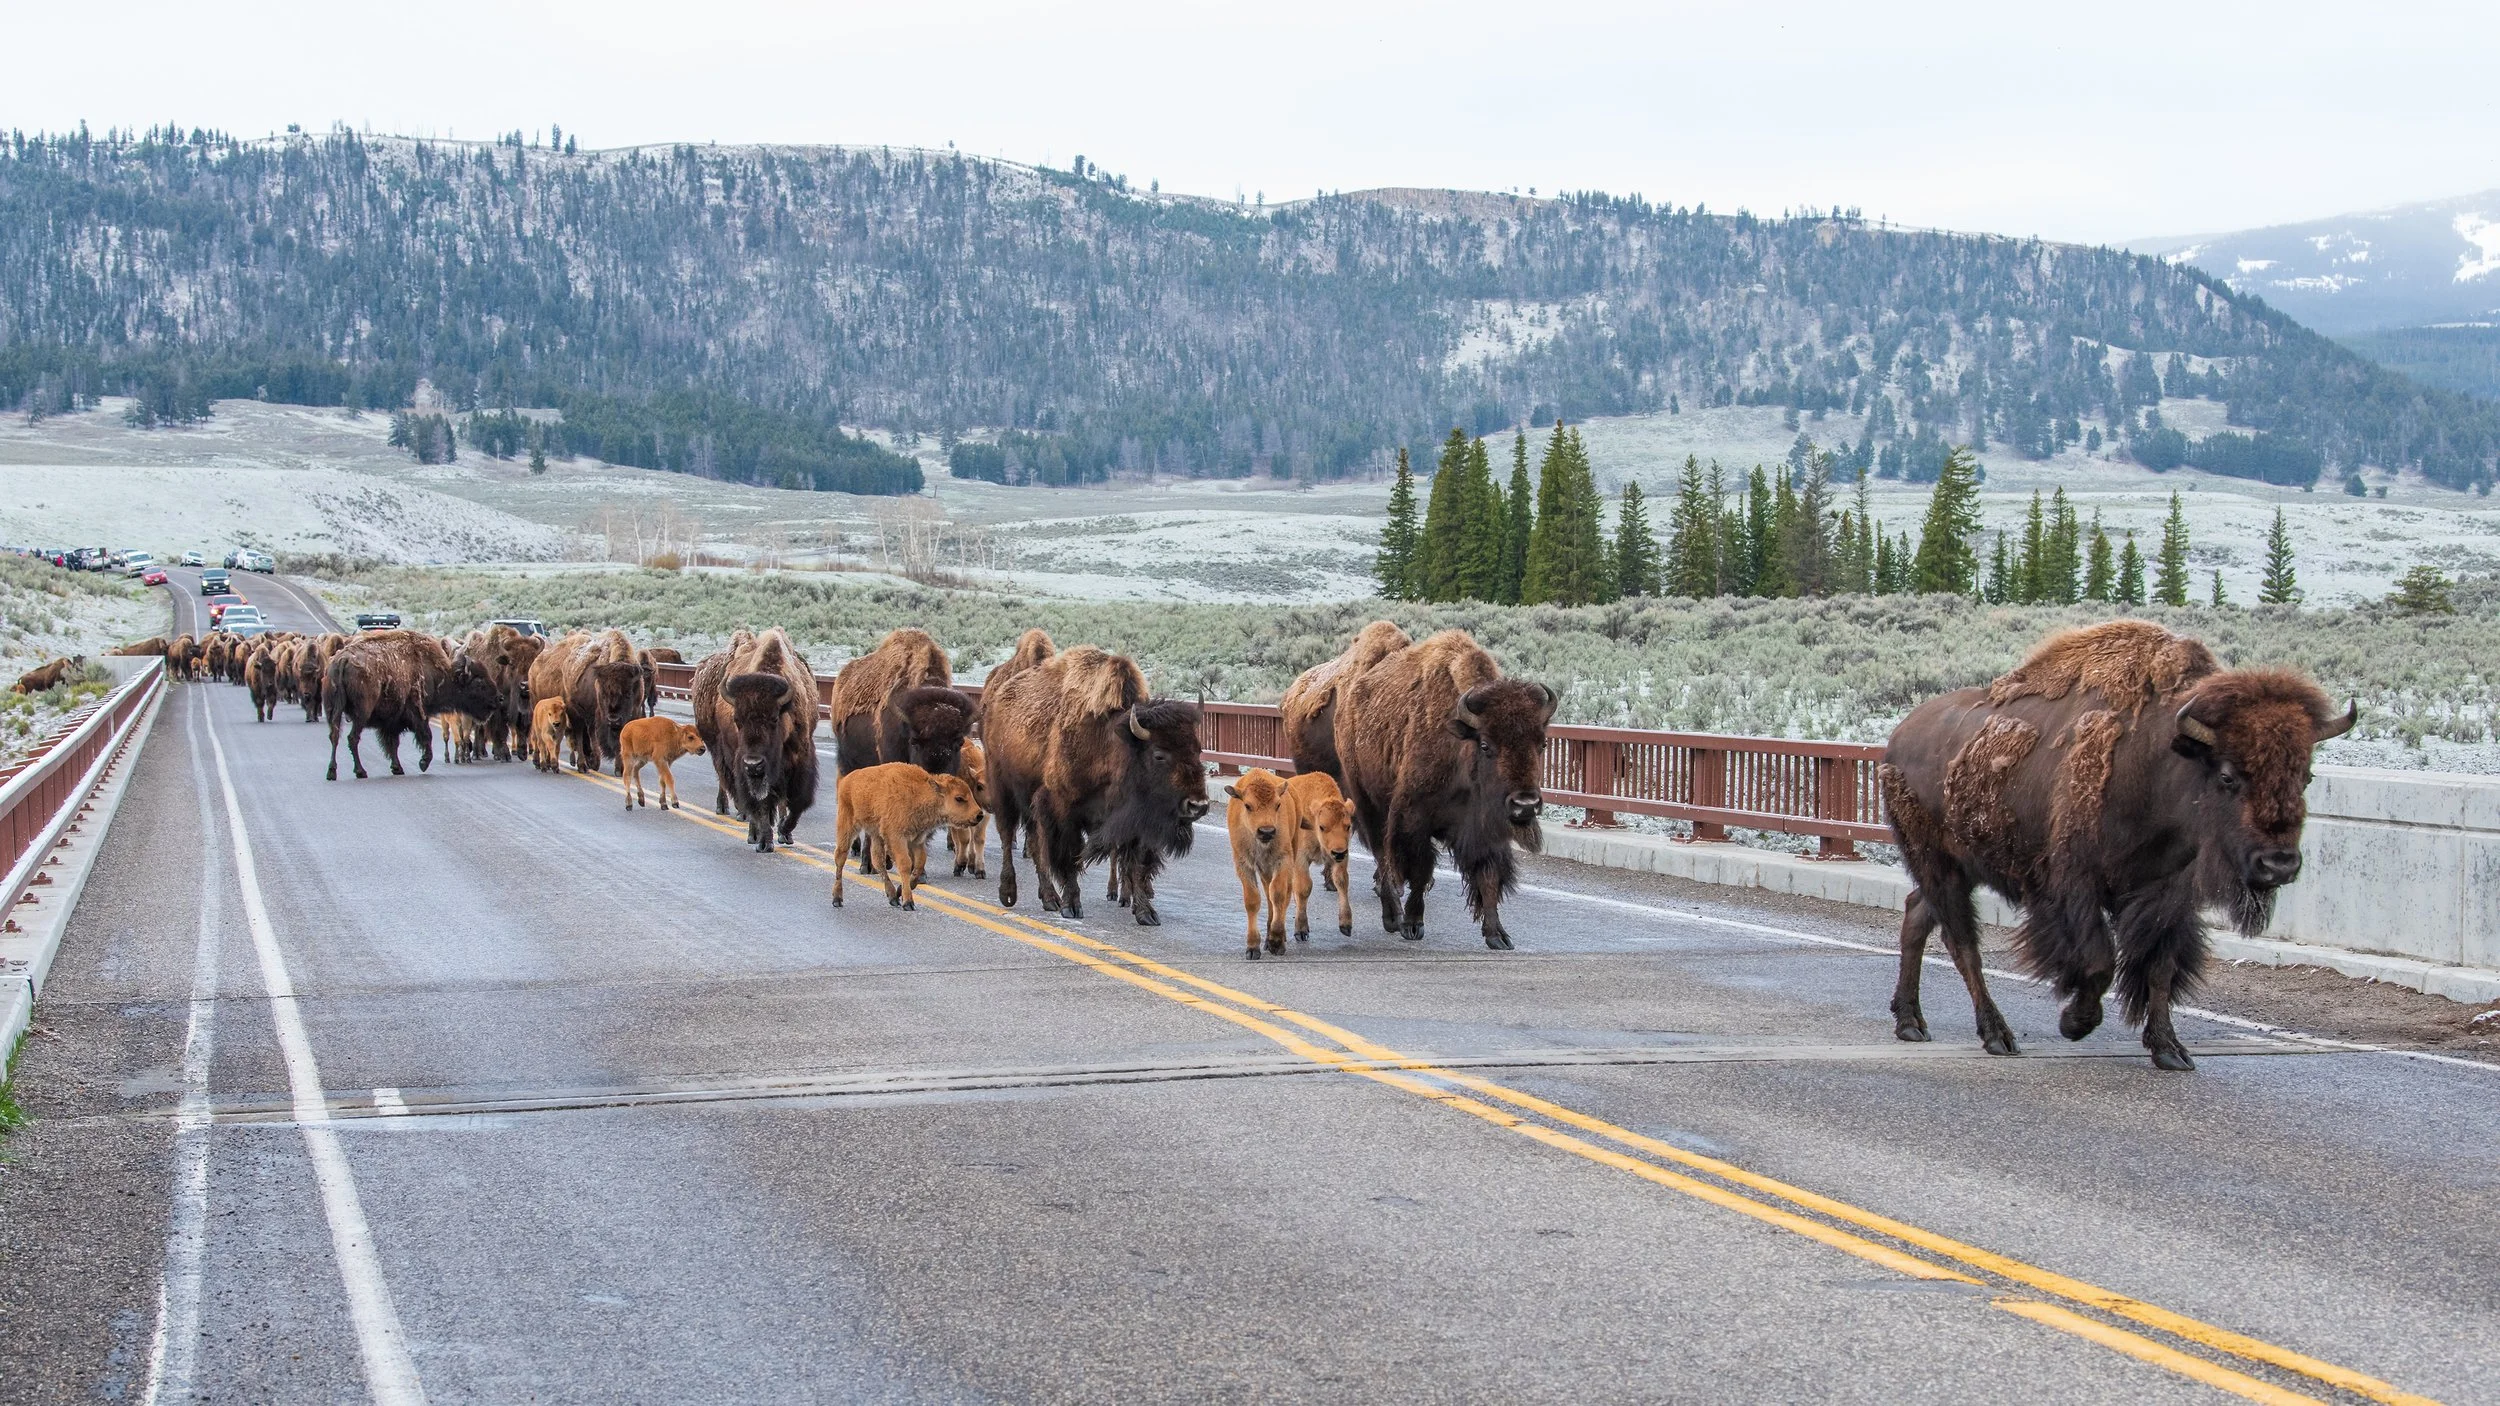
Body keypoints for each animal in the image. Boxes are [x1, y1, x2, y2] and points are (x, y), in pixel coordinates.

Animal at [979, 630, 1208, 924]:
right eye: (1159, 755)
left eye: (1197, 749)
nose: (1197, 805)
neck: (1113, 743)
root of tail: (998, 698)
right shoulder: (1062, 810)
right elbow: (1069, 858)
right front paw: (1072, 906)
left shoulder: (1134, 820)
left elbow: (1137, 863)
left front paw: (1146, 913)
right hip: (1003, 788)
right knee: (1008, 837)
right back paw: (1009, 893)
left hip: (1029, 801)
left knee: (1034, 843)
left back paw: (1049, 898)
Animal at [1335, 628, 1554, 950]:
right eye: (1485, 744)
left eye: (1543, 743)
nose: (1524, 804)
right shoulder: (1413, 821)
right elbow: (1419, 870)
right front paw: (1413, 925)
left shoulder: (1484, 830)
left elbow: (1488, 876)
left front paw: (1497, 935)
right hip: (1369, 804)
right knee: (1383, 857)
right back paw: (1393, 917)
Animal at [1883, 620, 2354, 1071]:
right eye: (2227, 775)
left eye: (2306, 777)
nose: (2278, 864)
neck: (2156, 764)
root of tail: (1898, 738)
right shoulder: (2074, 886)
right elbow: (2099, 962)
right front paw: (2074, 1023)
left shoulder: (2167, 896)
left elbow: (2159, 969)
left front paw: (2170, 1051)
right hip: (1939, 864)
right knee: (1963, 943)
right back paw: (1997, 1035)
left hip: (1959, 869)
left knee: (1917, 915)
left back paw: (1910, 1022)